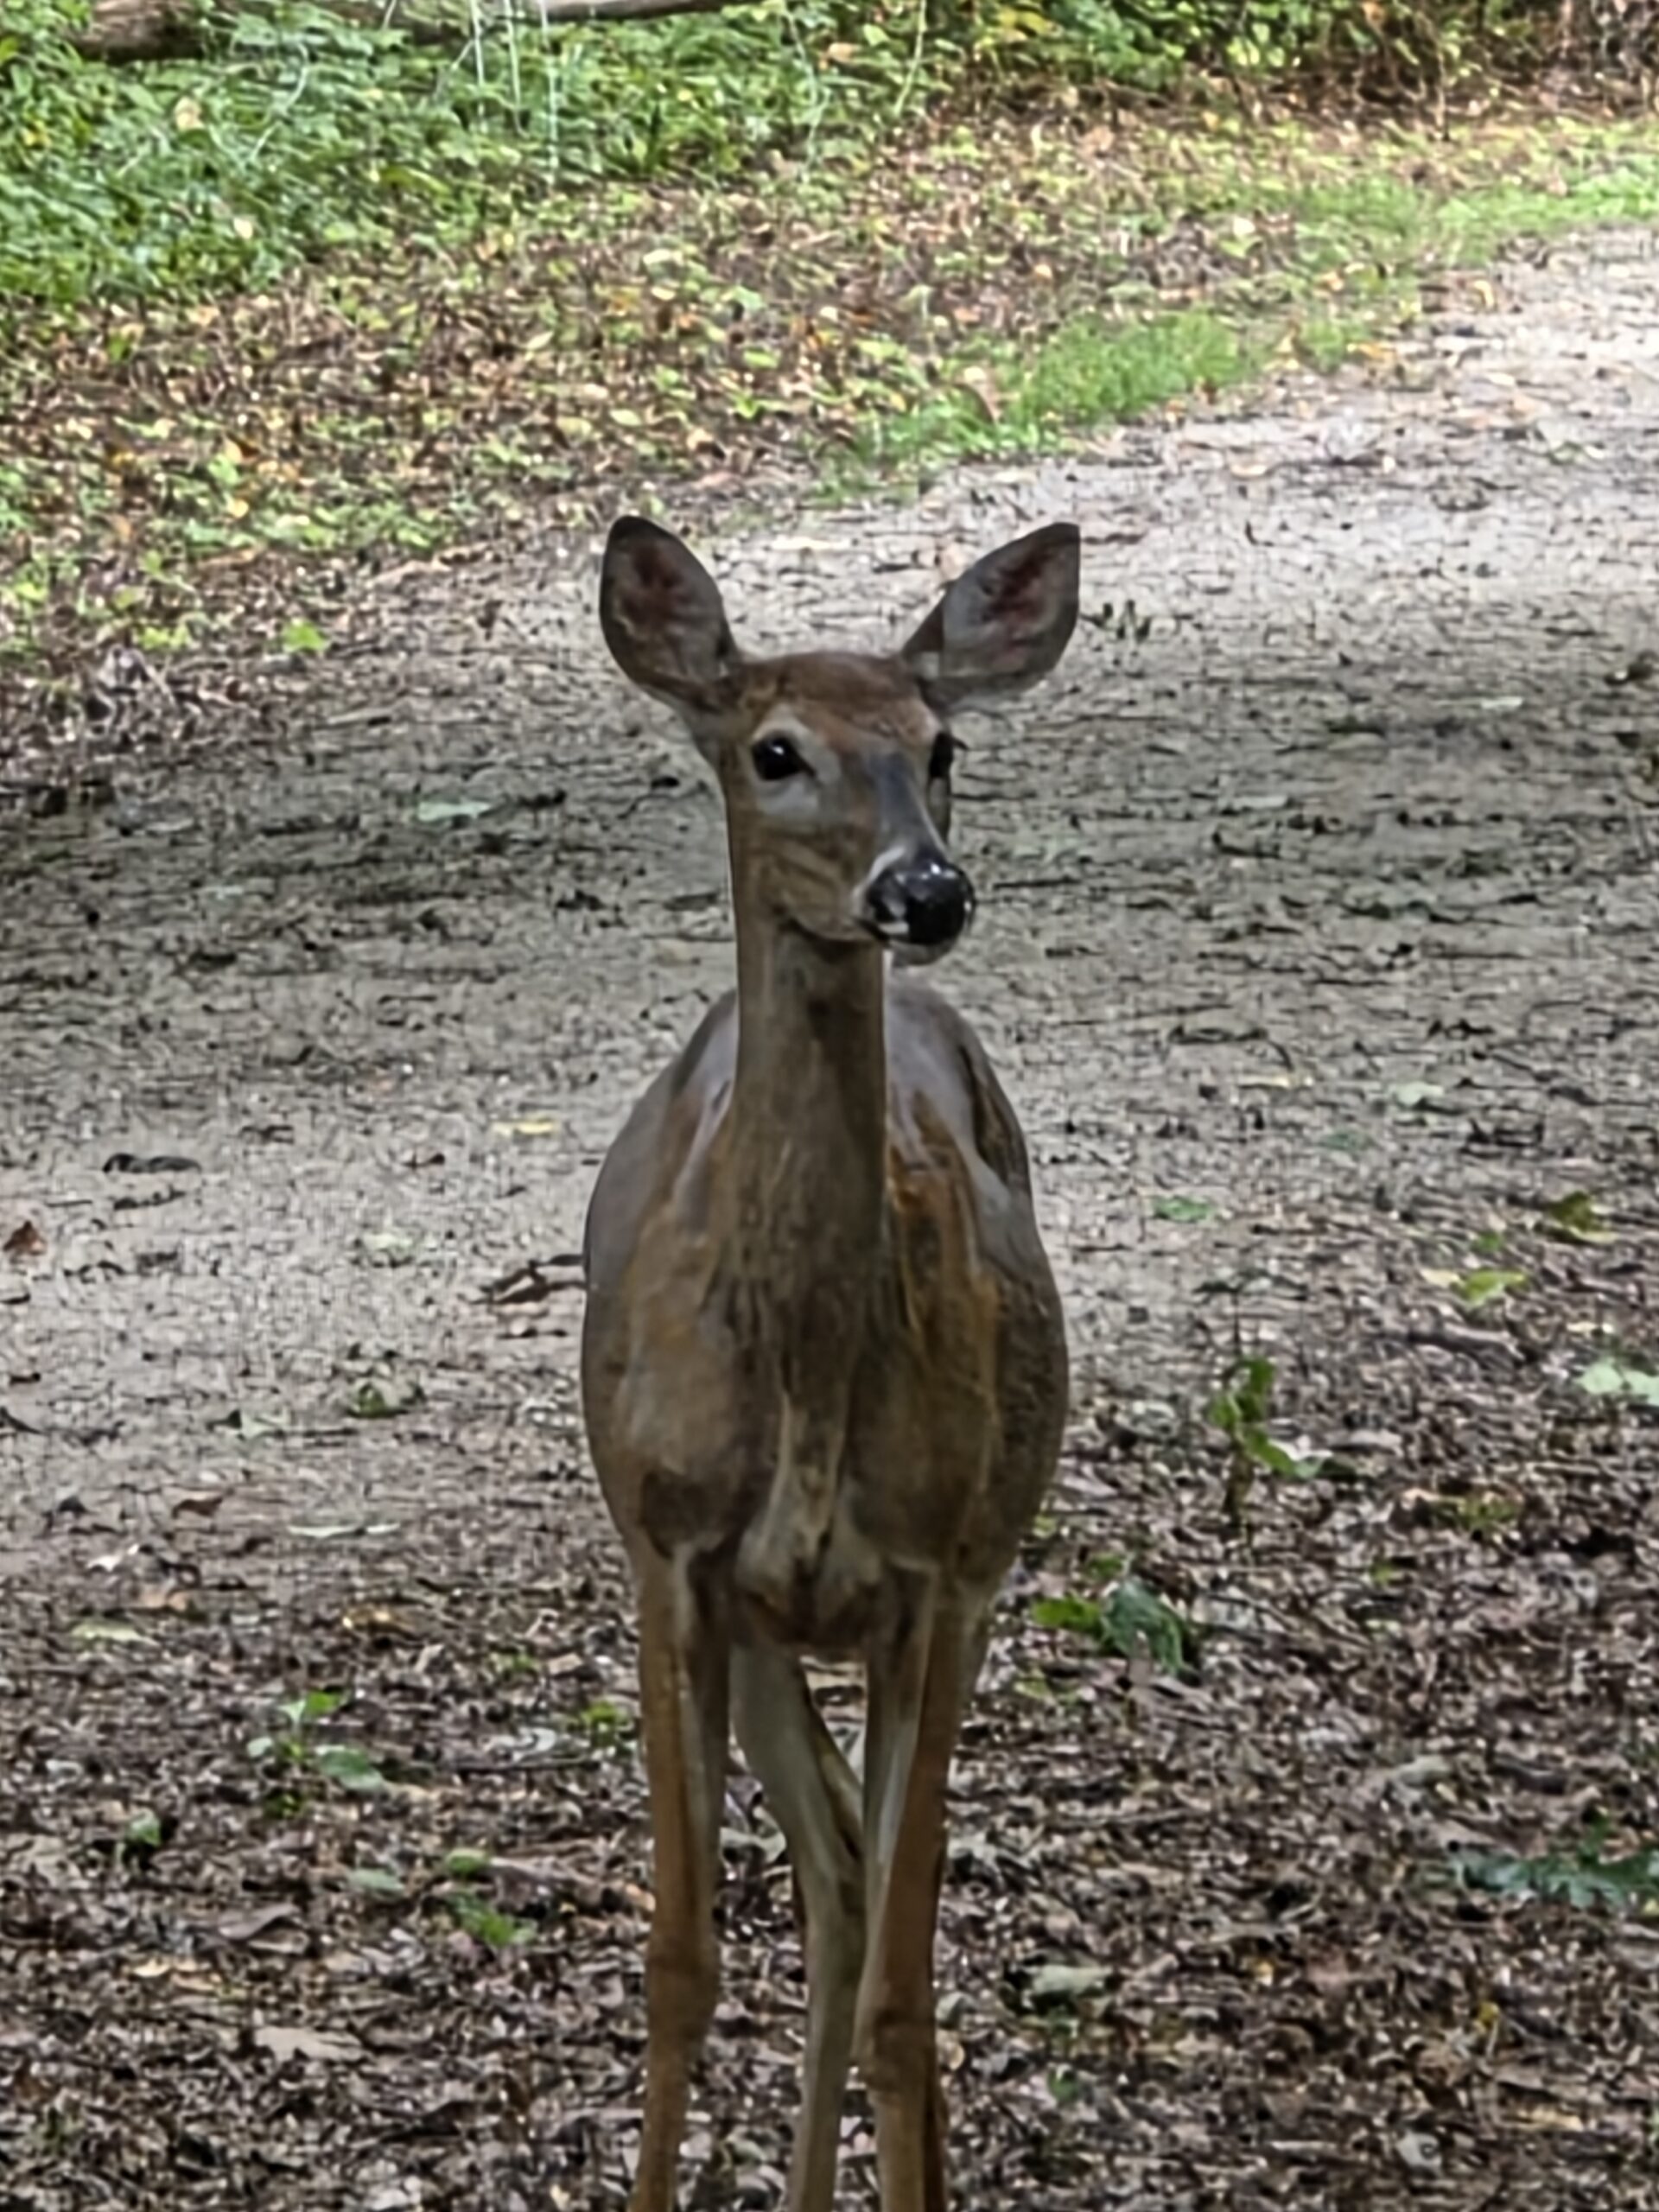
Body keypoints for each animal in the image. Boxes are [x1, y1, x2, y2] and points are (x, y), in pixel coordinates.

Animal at [580, 511, 1082, 2212]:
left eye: (943, 748)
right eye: (775, 749)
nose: (923, 890)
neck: (796, 1372)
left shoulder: (938, 1573)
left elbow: (906, 2003)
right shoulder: (670, 1552)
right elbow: (679, 1958)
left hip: (951, 1573)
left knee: (859, 1897)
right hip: (753, 1622)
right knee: (833, 1872)